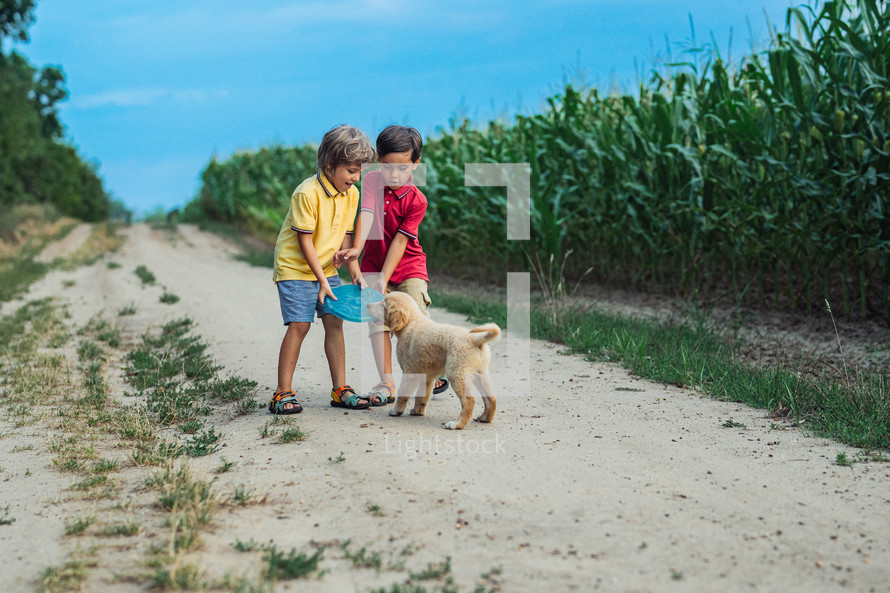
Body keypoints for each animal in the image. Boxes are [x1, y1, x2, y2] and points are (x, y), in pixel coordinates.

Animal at [364, 292, 496, 428]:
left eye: (383, 305)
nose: (367, 305)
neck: (411, 322)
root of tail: (475, 339)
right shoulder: (426, 376)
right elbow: (422, 396)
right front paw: (418, 411)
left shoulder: (409, 372)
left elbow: (403, 393)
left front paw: (396, 411)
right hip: (480, 374)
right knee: (491, 398)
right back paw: (484, 418)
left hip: (457, 373)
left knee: (469, 400)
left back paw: (457, 424)